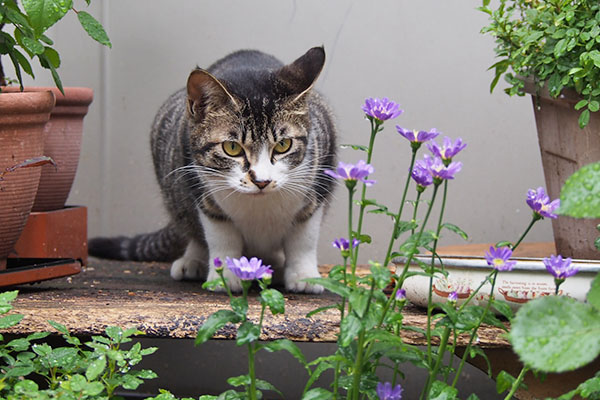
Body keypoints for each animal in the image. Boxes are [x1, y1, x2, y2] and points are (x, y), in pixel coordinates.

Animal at [88, 47, 338, 294]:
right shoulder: (202, 191)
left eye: (283, 145)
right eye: (232, 148)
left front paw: (304, 276)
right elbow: (222, 236)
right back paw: (193, 260)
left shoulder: (319, 182)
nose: (261, 181)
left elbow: (304, 238)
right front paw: (226, 275)